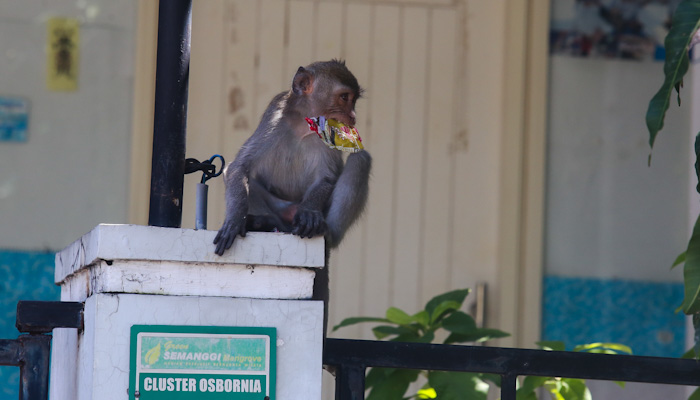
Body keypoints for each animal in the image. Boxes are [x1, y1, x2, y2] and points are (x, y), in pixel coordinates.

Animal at [213, 58, 370, 256]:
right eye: (344, 97)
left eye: (354, 100)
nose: (353, 116)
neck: (303, 124)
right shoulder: (273, 120)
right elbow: (238, 167)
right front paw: (234, 220)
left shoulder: (329, 134)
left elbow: (327, 177)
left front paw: (309, 211)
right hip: (281, 207)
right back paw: (268, 223)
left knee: (361, 160)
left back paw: (328, 232)